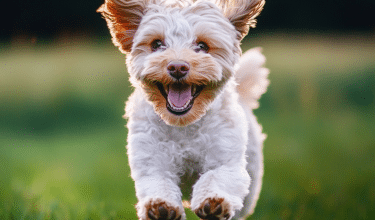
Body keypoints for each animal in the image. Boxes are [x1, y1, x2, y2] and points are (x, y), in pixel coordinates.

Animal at [97, 0, 268, 219]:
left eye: (202, 46)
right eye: (157, 44)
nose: (177, 67)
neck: (183, 124)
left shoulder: (225, 158)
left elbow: (216, 177)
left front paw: (214, 203)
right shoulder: (152, 161)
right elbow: (159, 182)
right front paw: (160, 208)